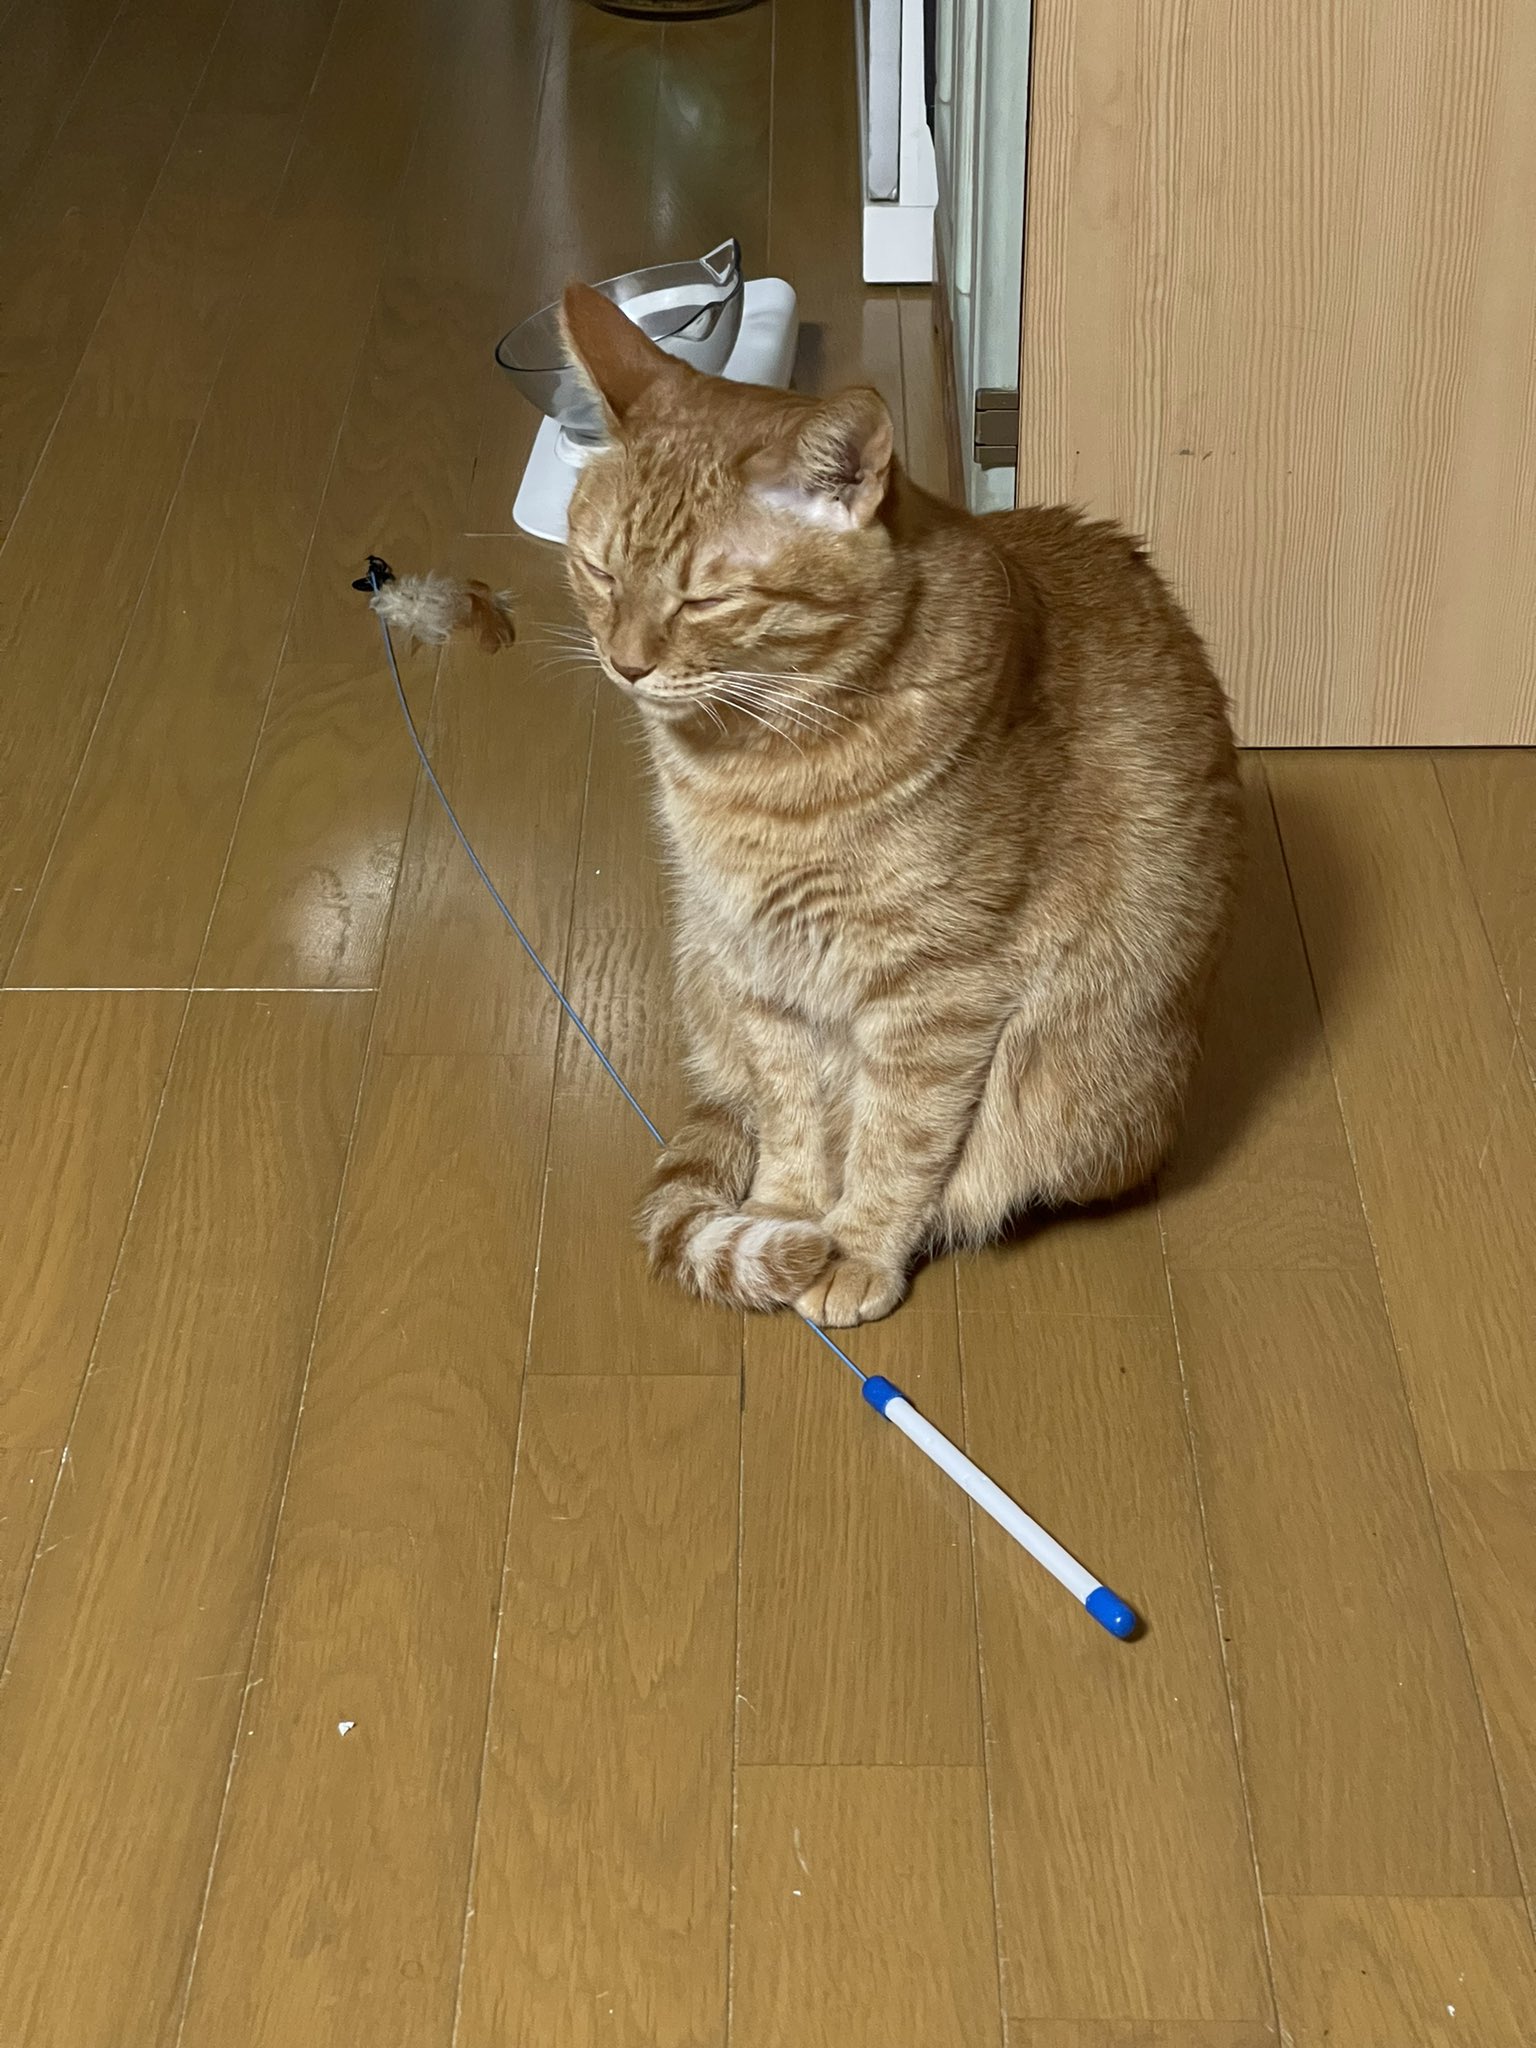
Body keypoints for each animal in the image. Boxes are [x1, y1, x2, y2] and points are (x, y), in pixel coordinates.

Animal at [558, 281, 1241, 1328]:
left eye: (706, 601)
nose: (624, 663)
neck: (753, 770)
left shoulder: (936, 990)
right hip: (705, 967)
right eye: (597, 571)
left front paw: (853, 1248)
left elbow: (898, 1138)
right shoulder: (758, 970)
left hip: (1092, 1102)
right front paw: (785, 1217)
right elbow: (790, 1115)